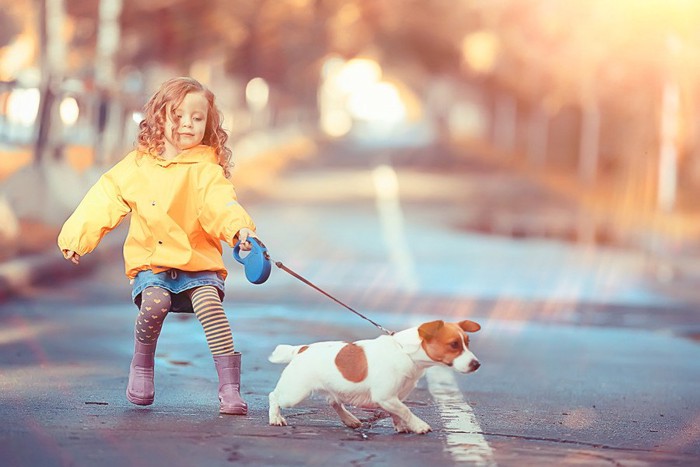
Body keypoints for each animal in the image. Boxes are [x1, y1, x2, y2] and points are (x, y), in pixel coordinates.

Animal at [268, 320, 482, 434]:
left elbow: (398, 412)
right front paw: (418, 425)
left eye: (468, 342)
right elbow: (406, 410)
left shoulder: (395, 397)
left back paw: (350, 419)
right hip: (294, 394)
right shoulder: (385, 397)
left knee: (334, 402)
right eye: (454, 344)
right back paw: (276, 418)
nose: (477, 364)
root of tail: (301, 349)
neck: (406, 352)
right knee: (273, 396)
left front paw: (401, 426)